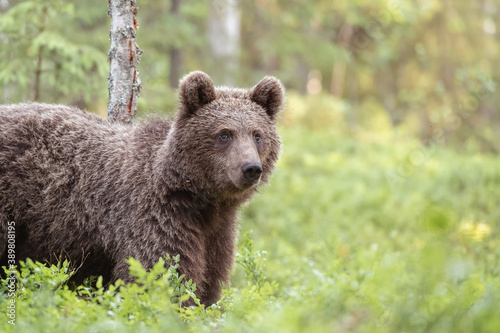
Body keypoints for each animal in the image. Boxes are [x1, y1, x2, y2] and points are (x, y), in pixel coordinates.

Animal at [0, 71, 286, 304]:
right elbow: (161, 273)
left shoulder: (216, 232)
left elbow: (209, 280)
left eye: (257, 134)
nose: (251, 168)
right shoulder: (154, 216)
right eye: (224, 134)